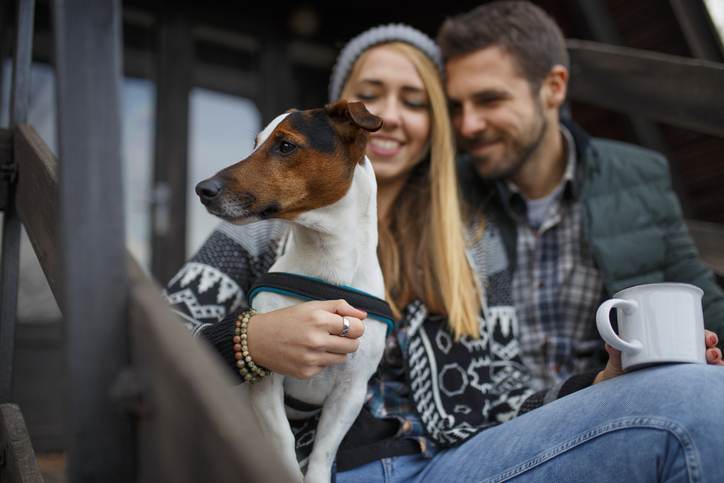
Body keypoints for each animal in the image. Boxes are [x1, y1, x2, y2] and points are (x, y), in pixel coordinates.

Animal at [195, 100, 390, 482]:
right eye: (254, 144)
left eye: (285, 145)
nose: (202, 188)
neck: (327, 266)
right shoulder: (265, 382)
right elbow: (283, 443)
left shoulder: (351, 391)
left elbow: (322, 453)